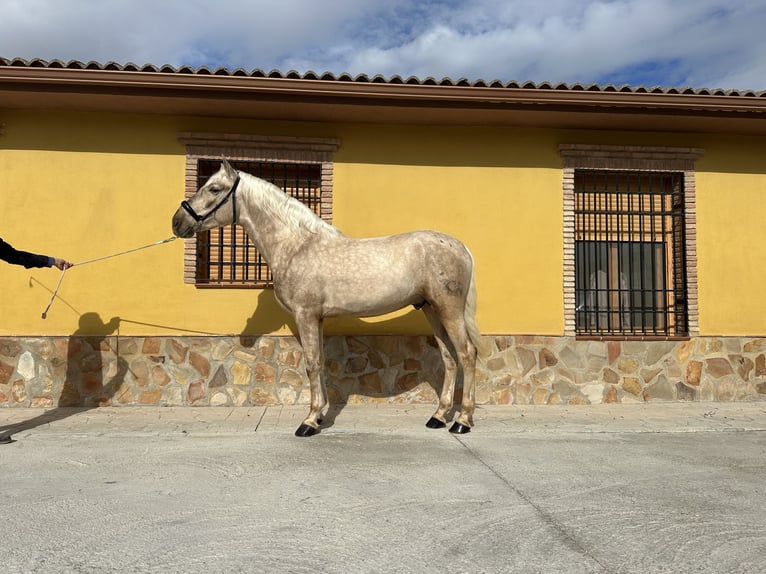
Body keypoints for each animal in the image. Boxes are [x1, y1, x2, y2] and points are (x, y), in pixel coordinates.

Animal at [174, 160, 480, 438]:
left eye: (214, 188)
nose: (177, 222)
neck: (297, 246)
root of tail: (461, 247)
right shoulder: (317, 318)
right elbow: (319, 362)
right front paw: (320, 415)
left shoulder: (306, 315)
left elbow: (311, 363)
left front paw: (309, 422)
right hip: (431, 309)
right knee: (449, 357)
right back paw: (438, 417)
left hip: (448, 310)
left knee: (467, 354)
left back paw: (462, 421)